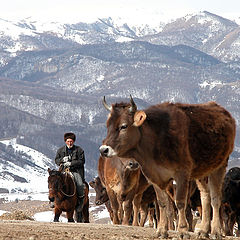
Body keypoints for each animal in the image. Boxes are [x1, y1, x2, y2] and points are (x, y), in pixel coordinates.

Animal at [100, 96, 236, 238]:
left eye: (123, 126)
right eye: (108, 125)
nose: (103, 150)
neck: (156, 140)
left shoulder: (182, 174)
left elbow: (180, 202)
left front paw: (183, 231)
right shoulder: (155, 176)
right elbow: (162, 203)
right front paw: (161, 231)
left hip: (220, 166)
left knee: (215, 198)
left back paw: (215, 231)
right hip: (203, 171)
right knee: (205, 197)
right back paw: (204, 231)